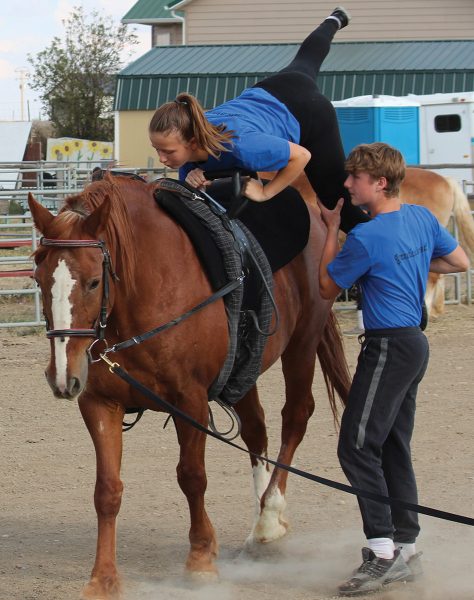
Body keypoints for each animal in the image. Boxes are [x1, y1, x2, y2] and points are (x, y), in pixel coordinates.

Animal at [27, 175, 350, 600]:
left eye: (95, 281)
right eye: (38, 280)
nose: (63, 376)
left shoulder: (190, 402)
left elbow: (192, 477)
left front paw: (199, 561)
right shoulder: (100, 403)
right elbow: (107, 490)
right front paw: (103, 578)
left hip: (302, 344)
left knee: (295, 418)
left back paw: (269, 518)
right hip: (244, 369)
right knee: (256, 430)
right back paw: (261, 521)